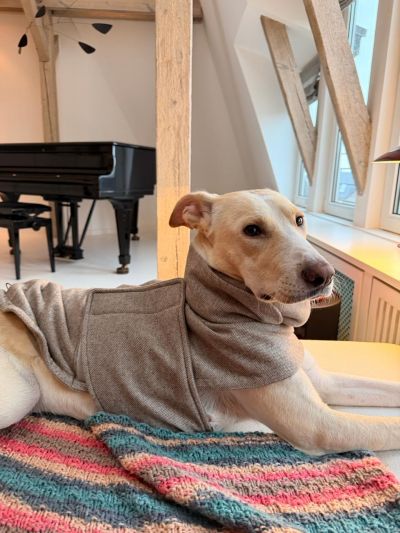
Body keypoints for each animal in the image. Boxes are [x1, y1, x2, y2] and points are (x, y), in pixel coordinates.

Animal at [0, 188, 399, 456]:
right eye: (253, 230)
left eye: (299, 220)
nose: (325, 275)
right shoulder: (319, 425)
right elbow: (389, 428)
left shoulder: (324, 384)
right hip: (22, 393)